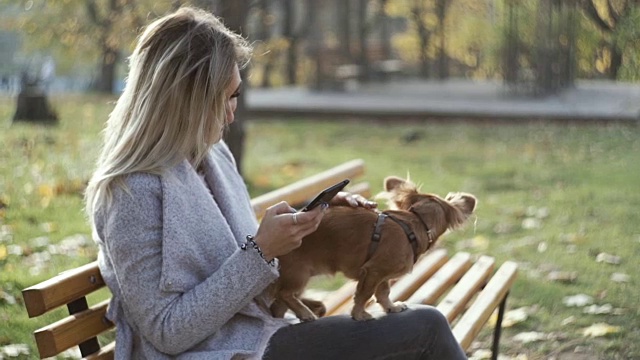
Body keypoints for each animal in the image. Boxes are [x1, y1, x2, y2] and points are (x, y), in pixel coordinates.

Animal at [268, 176, 476, 322]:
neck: (415, 222)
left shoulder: (382, 276)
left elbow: (383, 293)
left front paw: (391, 307)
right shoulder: (373, 272)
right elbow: (364, 294)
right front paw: (359, 314)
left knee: (278, 305)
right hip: (299, 274)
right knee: (284, 294)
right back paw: (305, 312)